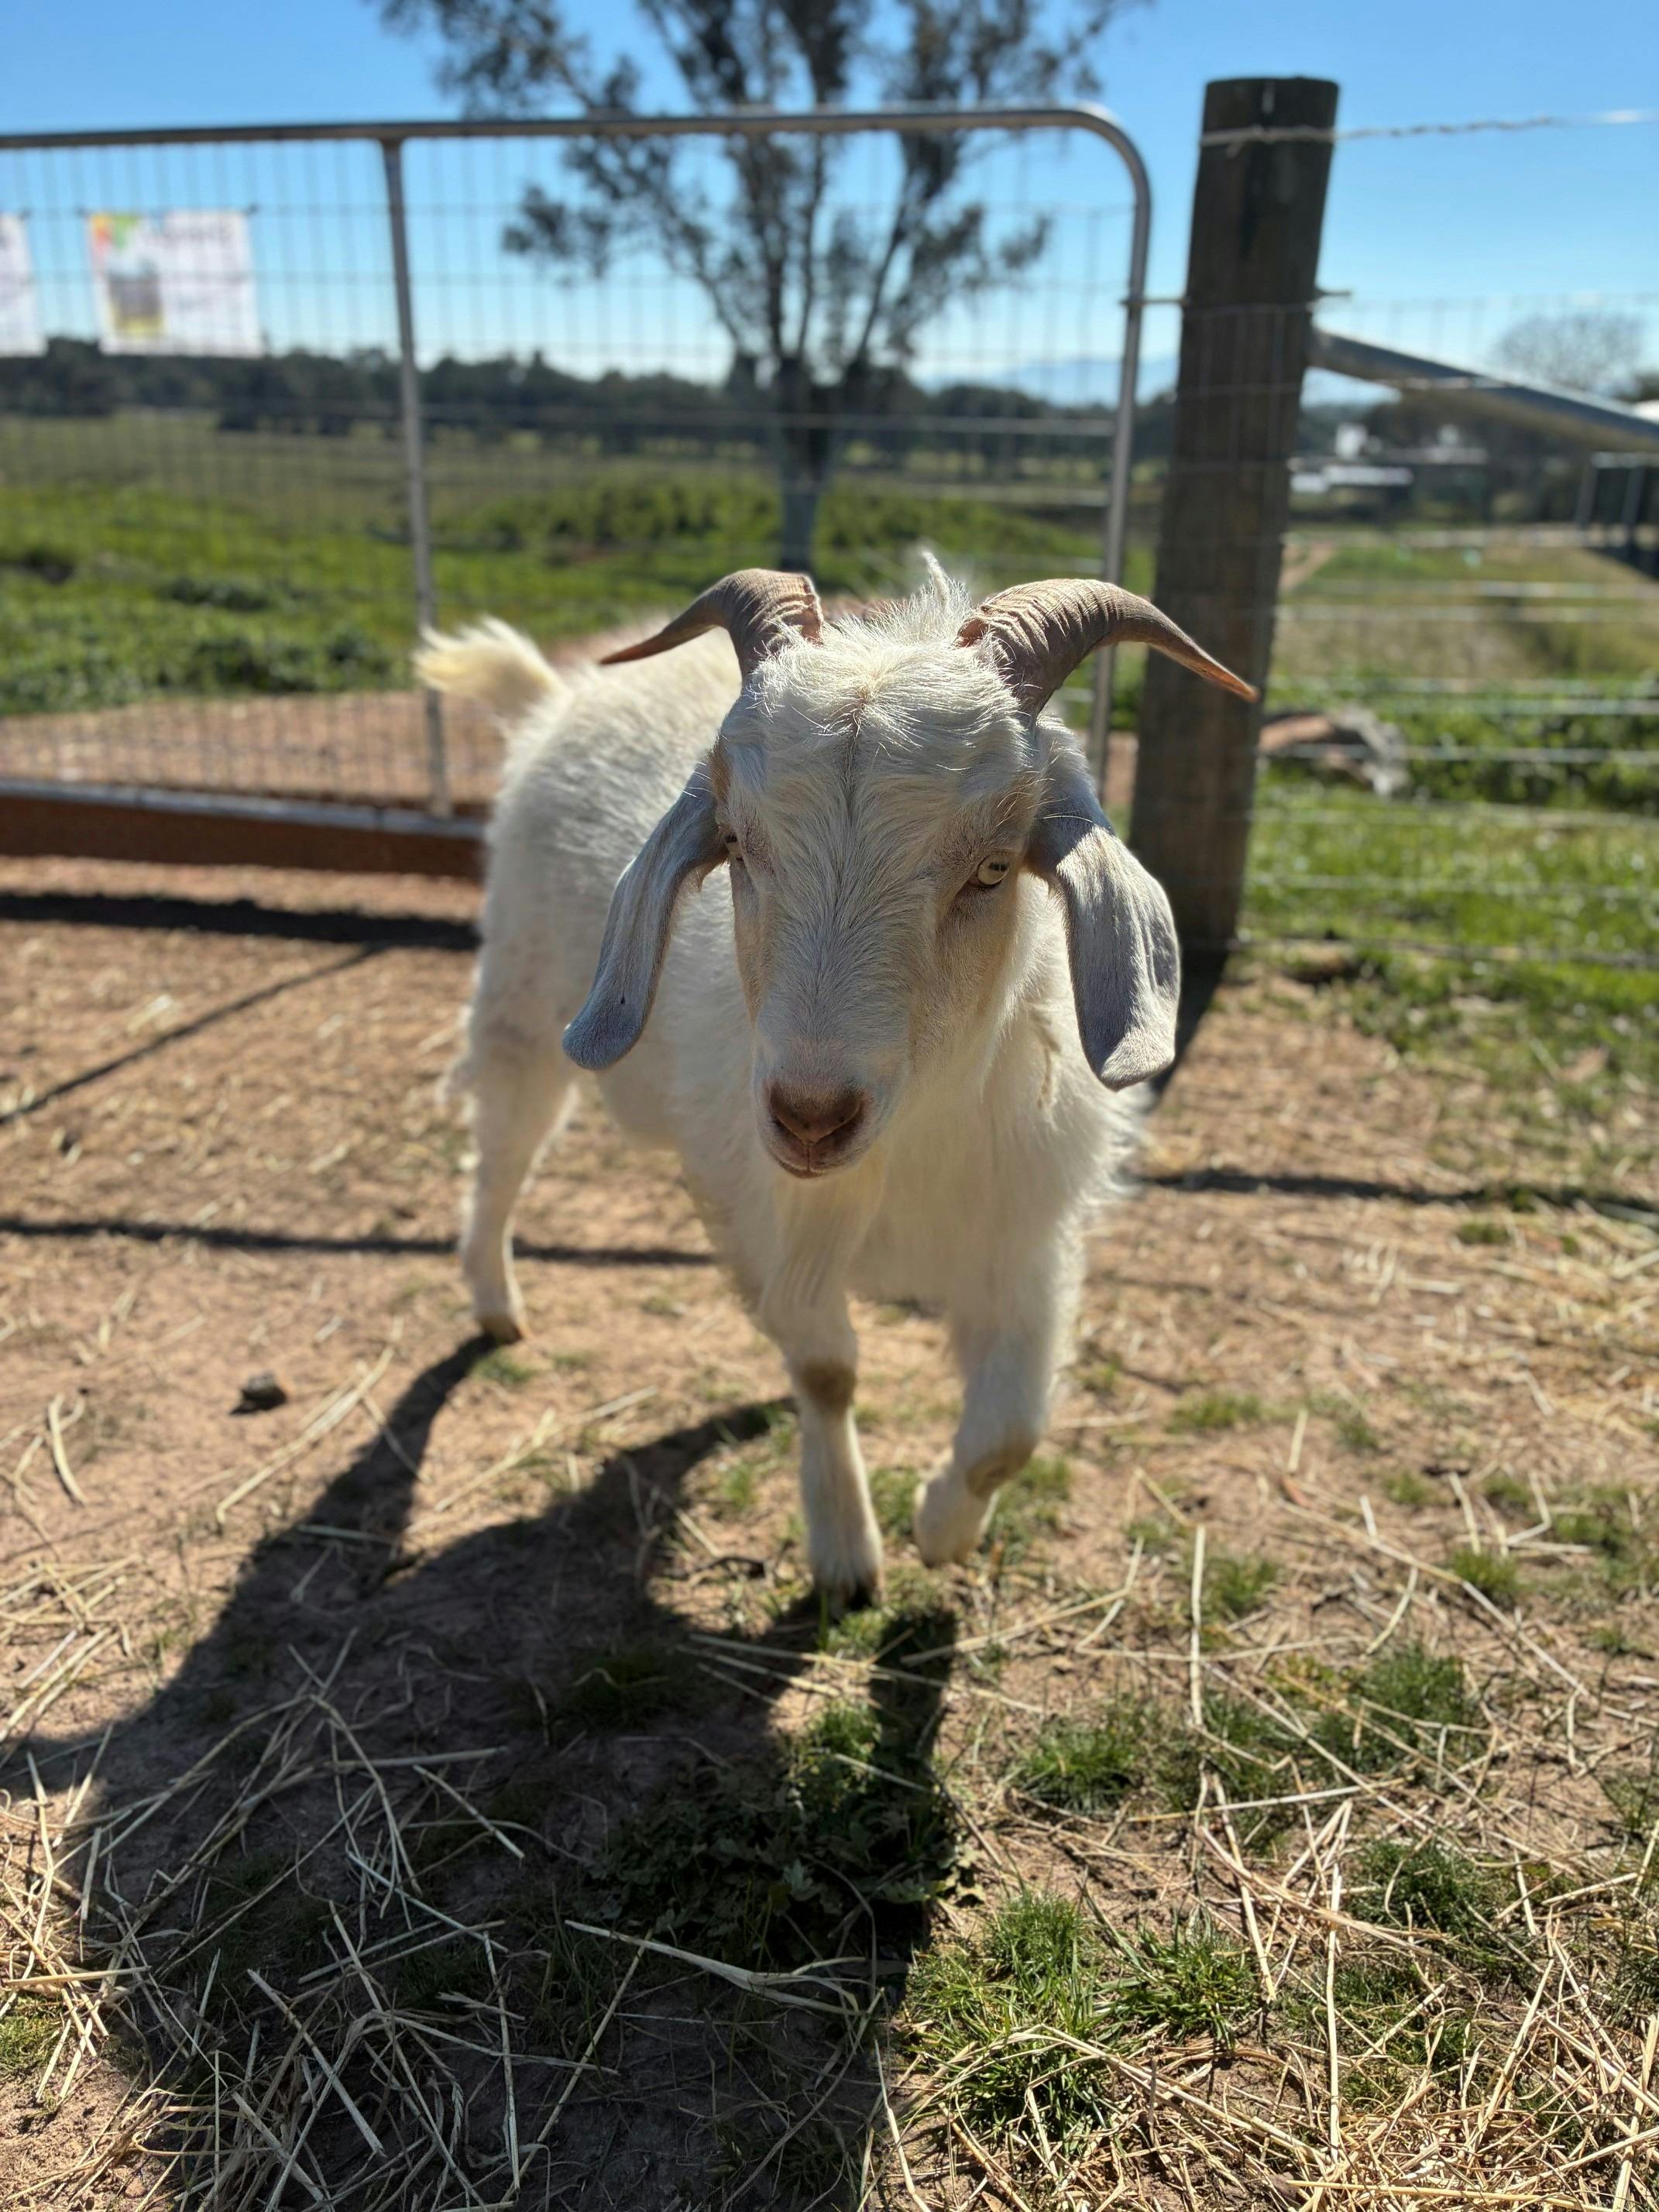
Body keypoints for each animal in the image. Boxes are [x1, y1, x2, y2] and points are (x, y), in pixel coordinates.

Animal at [417, 563, 1252, 1601]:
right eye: (736, 845)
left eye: (991, 867)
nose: (810, 1117)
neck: (910, 1145)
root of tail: (553, 699)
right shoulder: (777, 1219)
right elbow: (826, 1373)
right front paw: (849, 1553)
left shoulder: (1025, 1239)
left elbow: (1011, 1435)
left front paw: (942, 1530)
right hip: (527, 1013)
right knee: (501, 1159)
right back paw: (495, 1305)